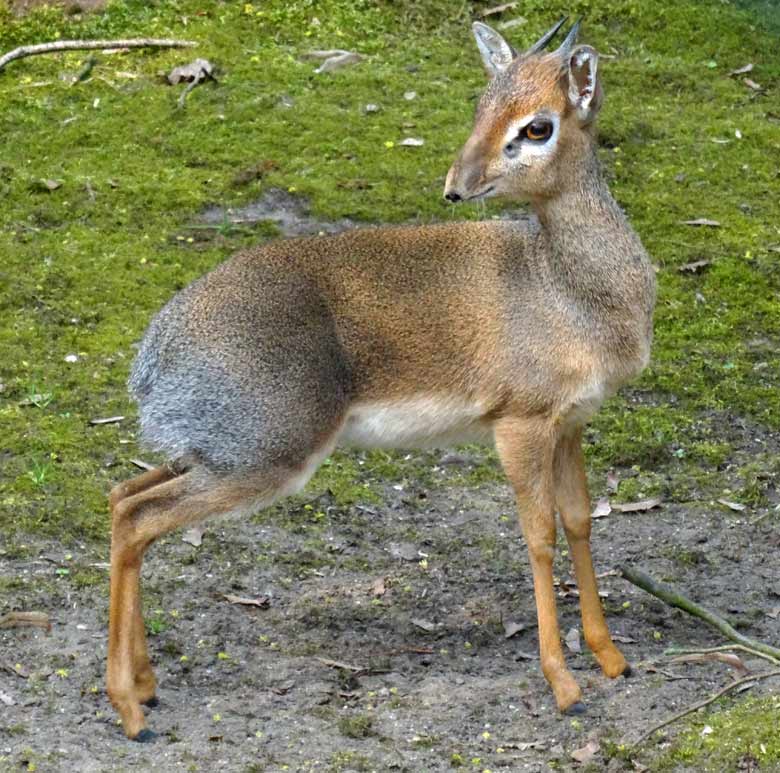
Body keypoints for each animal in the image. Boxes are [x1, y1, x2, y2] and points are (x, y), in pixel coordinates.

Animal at [108, 18, 660, 740]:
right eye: (482, 106)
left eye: (537, 124)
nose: (458, 185)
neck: (566, 287)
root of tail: (155, 350)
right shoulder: (519, 426)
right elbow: (537, 536)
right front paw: (564, 684)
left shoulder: (569, 424)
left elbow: (578, 521)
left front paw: (610, 656)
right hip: (264, 459)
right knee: (138, 517)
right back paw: (128, 705)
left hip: (215, 451)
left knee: (122, 496)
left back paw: (144, 687)